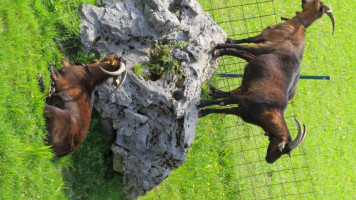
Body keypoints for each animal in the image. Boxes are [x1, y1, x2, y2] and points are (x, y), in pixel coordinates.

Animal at [199, 0, 336, 164]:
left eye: (283, 151)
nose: (269, 160)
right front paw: (202, 106)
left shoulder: (240, 108)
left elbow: (223, 107)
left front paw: (203, 109)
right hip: (258, 53)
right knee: (240, 52)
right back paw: (218, 51)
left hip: (256, 58)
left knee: (241, 54)